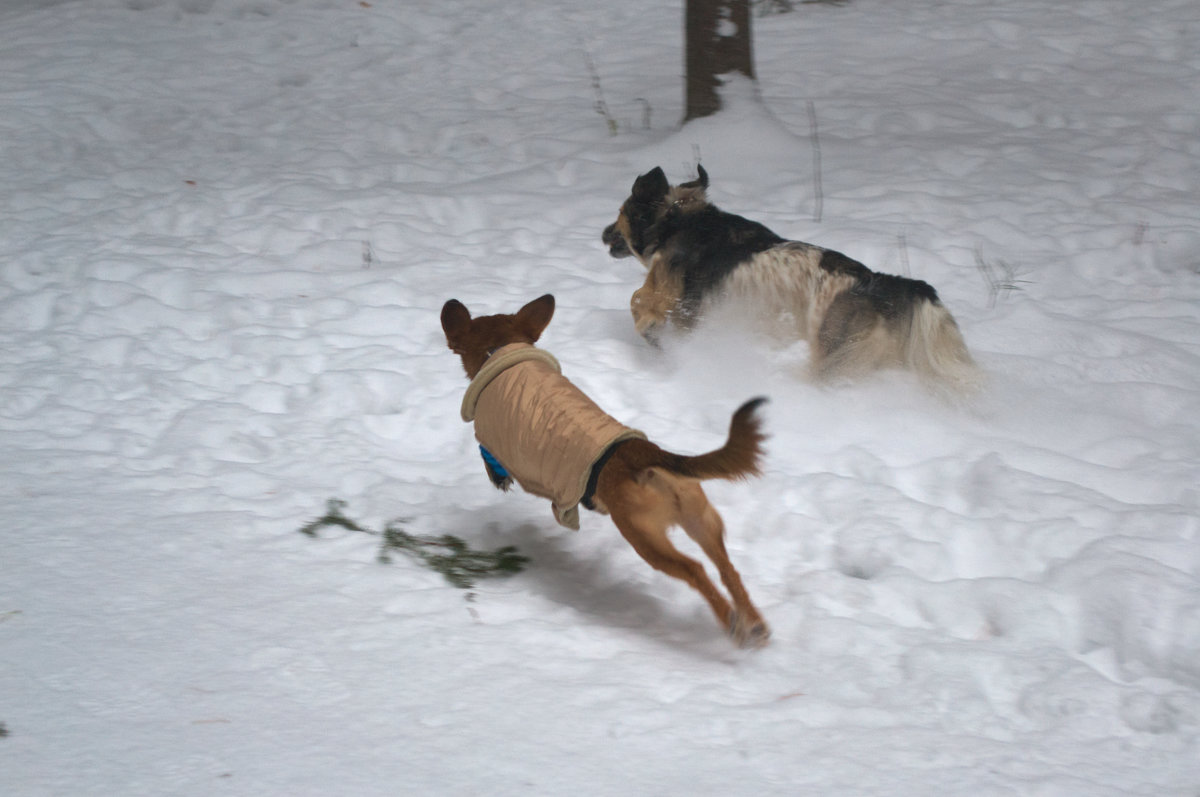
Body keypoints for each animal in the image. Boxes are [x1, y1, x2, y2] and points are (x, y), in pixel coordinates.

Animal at [441, 292, 768, 648]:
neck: (501, 350)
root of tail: (646, 455)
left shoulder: (493, 441)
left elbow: (489, 458)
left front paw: (499, 479)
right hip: (702, 521)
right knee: (727, 568)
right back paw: (754, 624)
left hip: (645, 538)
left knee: (695, 569)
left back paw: (731, 621)